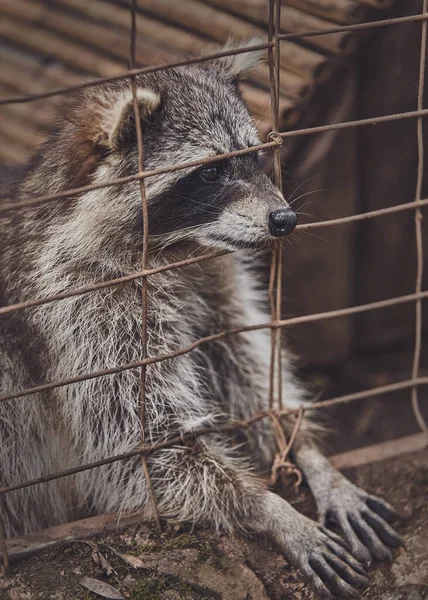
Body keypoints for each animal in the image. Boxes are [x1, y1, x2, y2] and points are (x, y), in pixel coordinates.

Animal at [0, 45, 402, 596]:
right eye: (209, 173)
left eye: (253, 157)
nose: (285, 220)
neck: (177, 249)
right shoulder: (79, 309)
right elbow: (142, 445)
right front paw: (269, 508)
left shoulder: (211, 281)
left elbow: (245, 365)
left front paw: (306, 451)